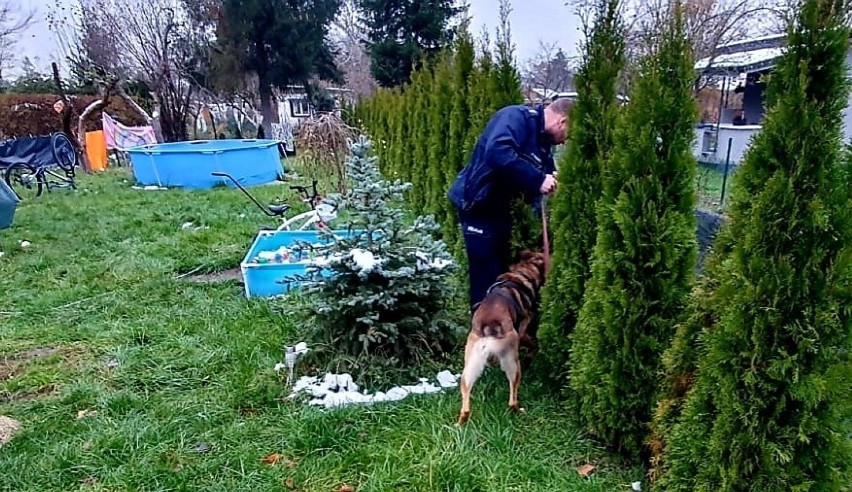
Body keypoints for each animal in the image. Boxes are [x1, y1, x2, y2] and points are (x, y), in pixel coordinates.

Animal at [460, 250, 544, 426]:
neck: (521, 273)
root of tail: (488, 328)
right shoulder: (524, 323)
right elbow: (531, 342)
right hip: (513, 363)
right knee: (512, 399)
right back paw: (519, 410)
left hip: (469, 369)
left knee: (465, 405)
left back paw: (460, 423)